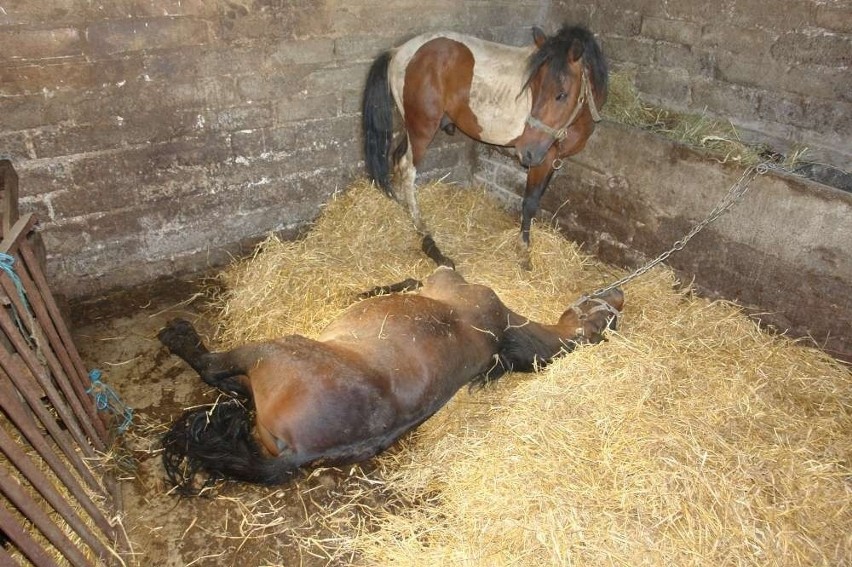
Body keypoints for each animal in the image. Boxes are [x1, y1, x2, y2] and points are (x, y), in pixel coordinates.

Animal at [161, 268, 624, 494]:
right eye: (606, 311)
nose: (620, 293)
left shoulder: (447, 279)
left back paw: (178, 335)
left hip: (271, 350)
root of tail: (299, 452)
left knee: (213, 368)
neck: (502, 329)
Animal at [362, 25, 608, 268]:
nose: (526, 152)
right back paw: (421, 227)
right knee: (407, 168)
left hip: (412, 128)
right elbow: (530, 202)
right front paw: (523, 251)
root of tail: (400, 51)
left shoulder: (553, 160)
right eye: (533, 87)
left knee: (397, 159)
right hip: (422, 129)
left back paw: (404, 206)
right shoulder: (544, 159)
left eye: (561, 94)